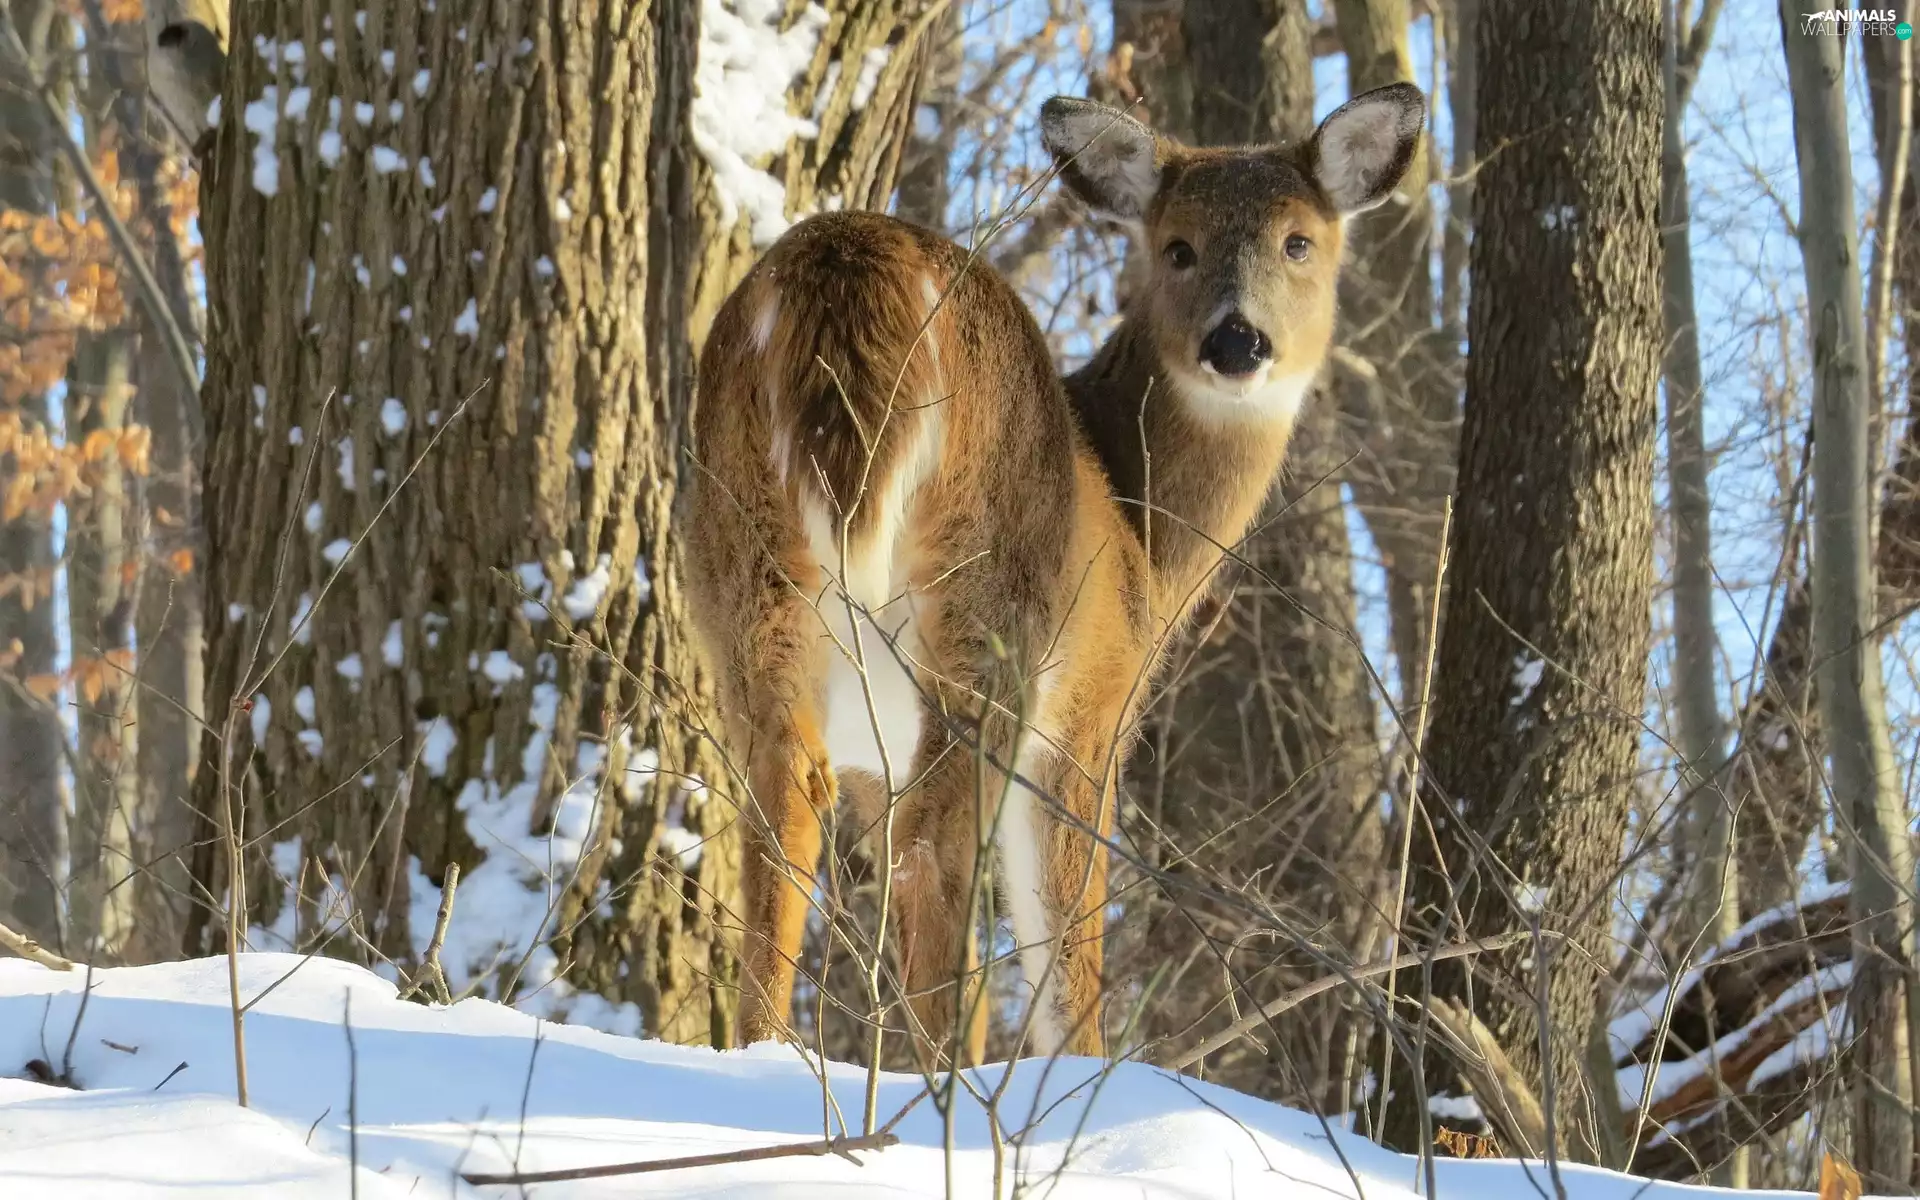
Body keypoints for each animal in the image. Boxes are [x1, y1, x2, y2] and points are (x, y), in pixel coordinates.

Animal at [682, 81, 1427, 1068]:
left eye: (1298, 240)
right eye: (1177, 245)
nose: (1238, 342)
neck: (1141, 529)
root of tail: (846, 269)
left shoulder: (874, 748)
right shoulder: (1092, 716)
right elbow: (1065, 947)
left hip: (749, 577)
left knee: (784, 803)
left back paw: (765, 1056)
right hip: (993, 598)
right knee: (935, 839)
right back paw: (942, 1080)